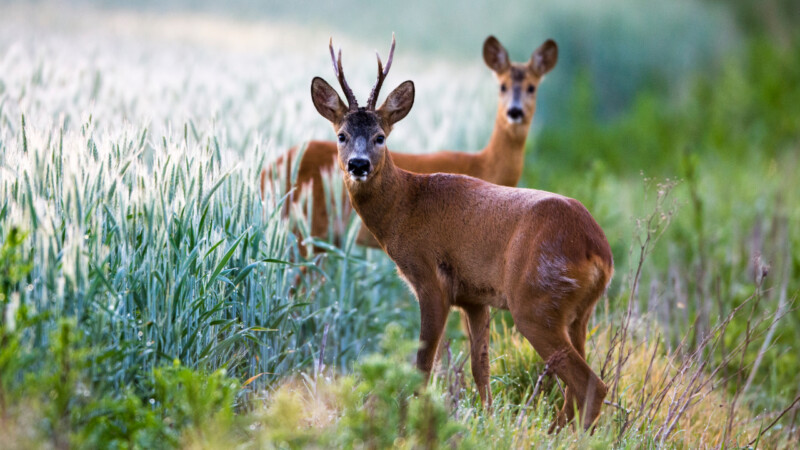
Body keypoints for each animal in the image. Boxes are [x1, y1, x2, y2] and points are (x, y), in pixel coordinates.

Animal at [260, 34, 556, 250]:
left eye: (532, 87)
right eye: (502, 86)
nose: (515, 112)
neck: (486, 166)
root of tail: (263, 172)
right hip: (307, 229)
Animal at [310, 37, 616, 428]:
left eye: (380, 137)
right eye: (342, 135)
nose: (358, 165)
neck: (405, 206)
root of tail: (598, 250)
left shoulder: (430, 277)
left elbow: (424, 365)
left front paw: (412, 423)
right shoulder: (474, 297)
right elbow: (479, 367)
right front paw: (487, 420)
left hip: (535, 300)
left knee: (590, 384)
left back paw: (554, 434)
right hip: (579, 312)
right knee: (578, 385)